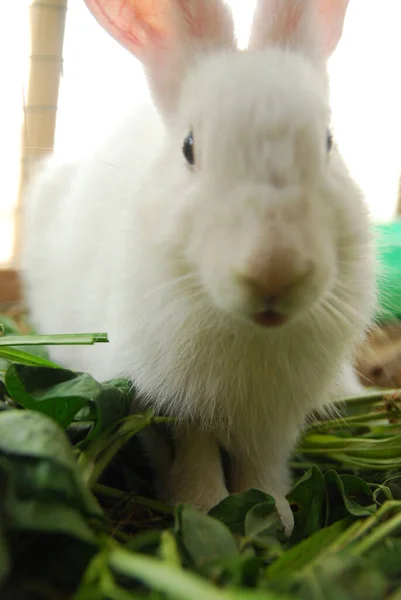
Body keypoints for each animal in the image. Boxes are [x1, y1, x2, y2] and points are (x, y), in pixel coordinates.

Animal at [19, 0, 376, 536]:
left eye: (328, 143)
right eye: (189, 148)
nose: (275, 274)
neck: (250, 330)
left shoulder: (274, 419)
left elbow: (262, 465)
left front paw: (277, 517)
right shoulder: (174, 404)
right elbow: (197, 455)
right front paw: (204, 508)